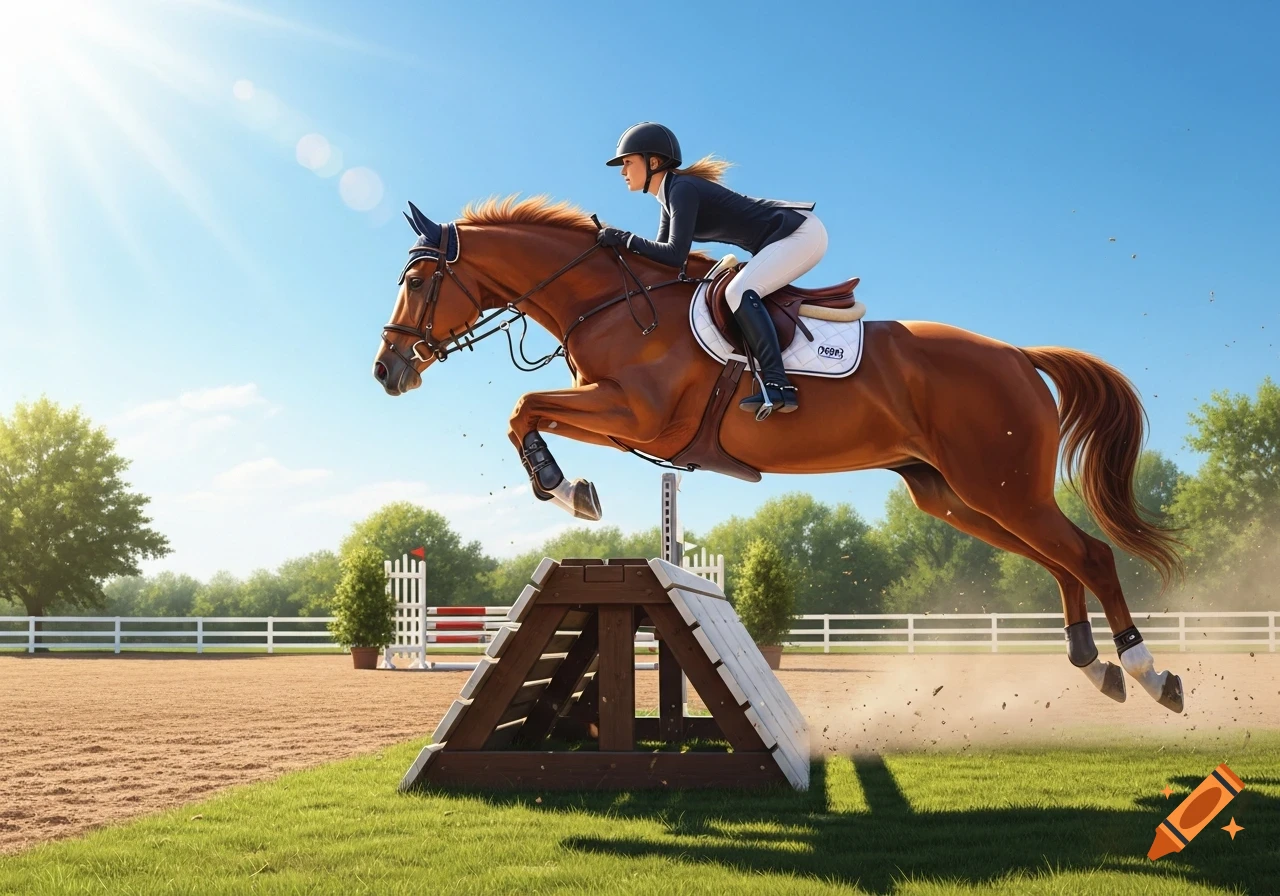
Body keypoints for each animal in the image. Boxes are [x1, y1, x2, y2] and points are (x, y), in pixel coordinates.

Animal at [372, 195, 1187, 715]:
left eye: (417, 279)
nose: (388, 371)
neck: (608, 302)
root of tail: (1019, 355)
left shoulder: (638, 415)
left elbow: (524, 405)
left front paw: (567, 490)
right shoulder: (625, 422)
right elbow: (528, 411)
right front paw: (572, 489)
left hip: (1001, 486)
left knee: (1089, 555)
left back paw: (1149, 673)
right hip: (956, 494)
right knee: (1060, 561)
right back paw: (1094, 664)